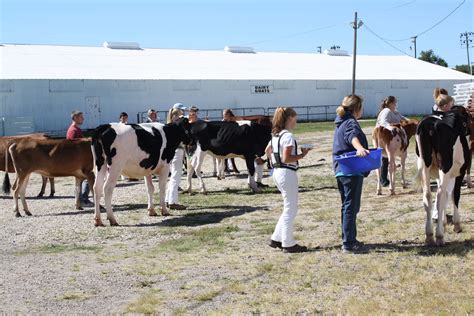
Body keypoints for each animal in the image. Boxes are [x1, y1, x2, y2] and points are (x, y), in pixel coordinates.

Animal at [414, 107, 470, 246]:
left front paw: (443, 222)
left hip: (424, 164)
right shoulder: (459, 172)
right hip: (445, 165)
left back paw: (429, 235)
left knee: (428, 195)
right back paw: (439, 236)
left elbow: (446, 195)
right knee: (439, 195)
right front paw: (456, 224)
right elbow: (454, 195)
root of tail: (429, 123)